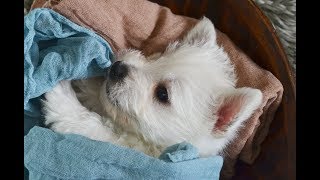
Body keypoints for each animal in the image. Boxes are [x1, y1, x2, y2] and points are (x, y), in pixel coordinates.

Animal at [43, 17, 262, 158]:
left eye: (162, 94)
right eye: (158, 58)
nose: (118, 68)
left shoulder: (125, 146)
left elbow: (94, 126)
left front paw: (62, 96)